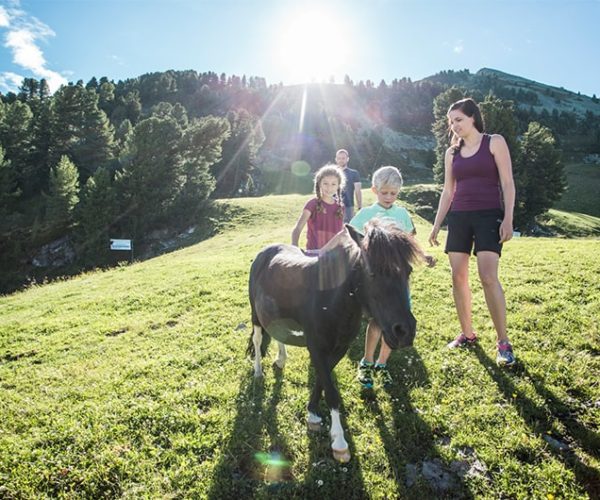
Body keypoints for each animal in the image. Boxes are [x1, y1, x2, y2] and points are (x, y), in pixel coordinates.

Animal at [246, 221, 424, 462]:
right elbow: (331, 392)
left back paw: (281, 359)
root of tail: (264, 253)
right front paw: (339, 442)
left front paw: (312, 413)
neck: (330, 299)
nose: (404, 331)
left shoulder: (339, 348)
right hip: (255, 314)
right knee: (257, 339)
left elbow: (323, 381)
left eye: (409, 271)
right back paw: (258, 371)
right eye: (372, 273)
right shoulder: (316, 347)